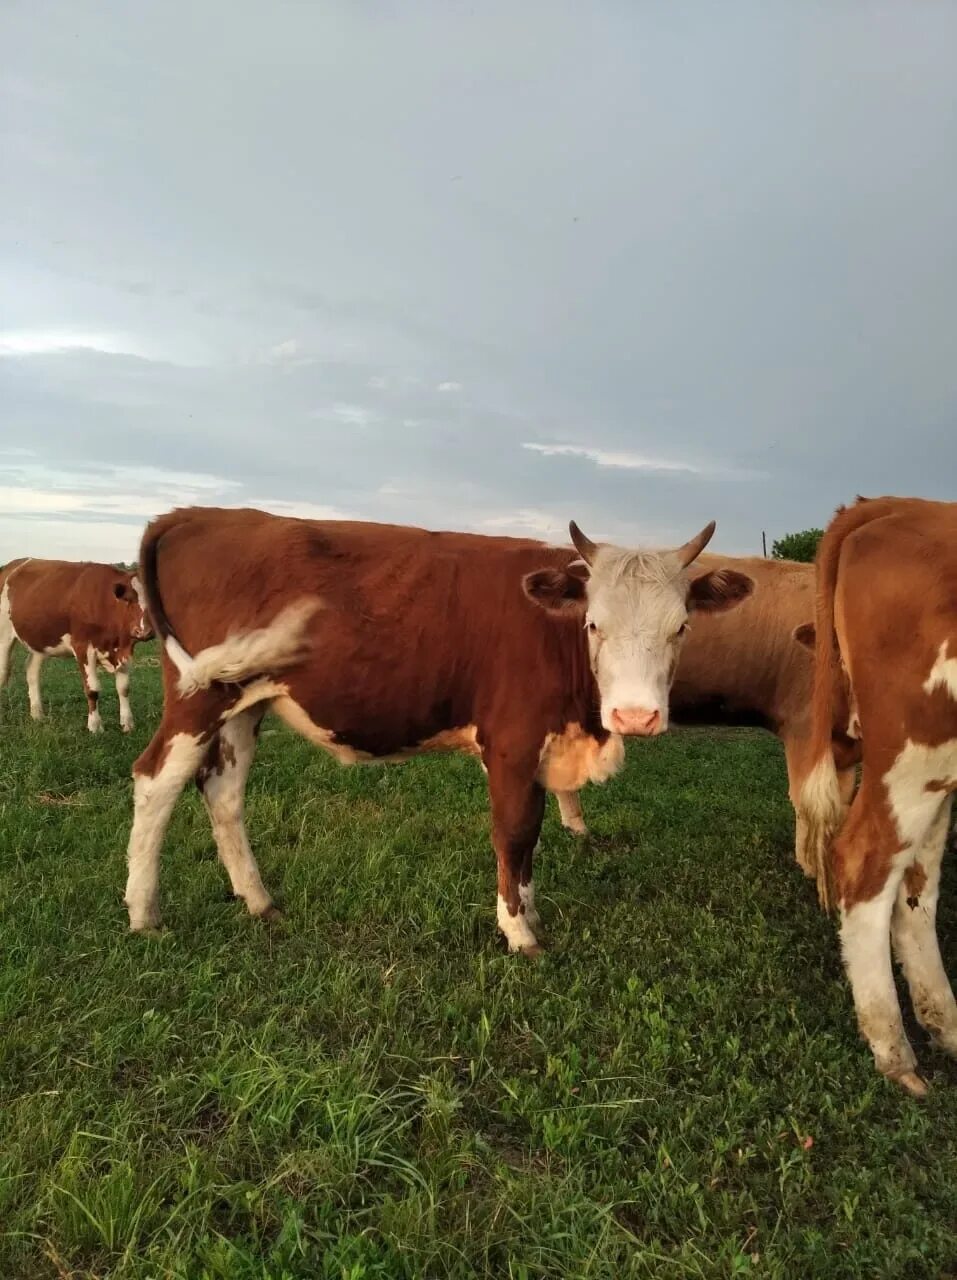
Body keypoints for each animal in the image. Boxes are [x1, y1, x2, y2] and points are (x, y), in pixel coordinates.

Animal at [0, 558, 152, 732]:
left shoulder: (125, 650)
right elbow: (92, 689)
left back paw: (37, 714)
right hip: (4, 635)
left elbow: (124, 688)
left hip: (40, 639)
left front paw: (127, 724)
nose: (146, 631)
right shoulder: (83, 647)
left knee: (31, 669)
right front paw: (95, 726)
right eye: (128, 599)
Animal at [123, 506, 757, 952]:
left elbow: (533, 836)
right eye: (594, 624)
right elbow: (515, 831)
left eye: (681, 627)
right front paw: (518, 932)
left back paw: (259, 901)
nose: (635, 715)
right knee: (156, 780)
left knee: (223, 791)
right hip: (198, 695)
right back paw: (144, 913)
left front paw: (529, 909)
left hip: (244, 702)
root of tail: (193, 513)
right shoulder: (511, 742)